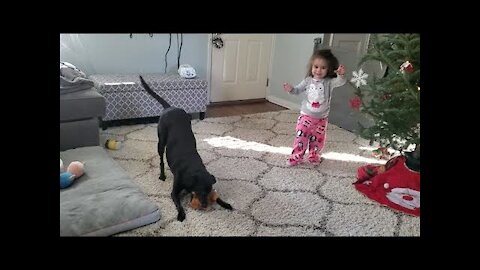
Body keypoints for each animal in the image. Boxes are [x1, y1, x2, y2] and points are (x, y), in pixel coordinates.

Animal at [139, 75, 232, 221]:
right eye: (200, 191)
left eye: (208, 192)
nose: (205, 205)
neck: (194, 170)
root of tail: (170, 107)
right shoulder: (174, 191)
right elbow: (178, 203)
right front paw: (181, 214)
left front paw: (225, 203)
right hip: (161, 141)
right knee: (161, 159)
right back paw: (162, 175)